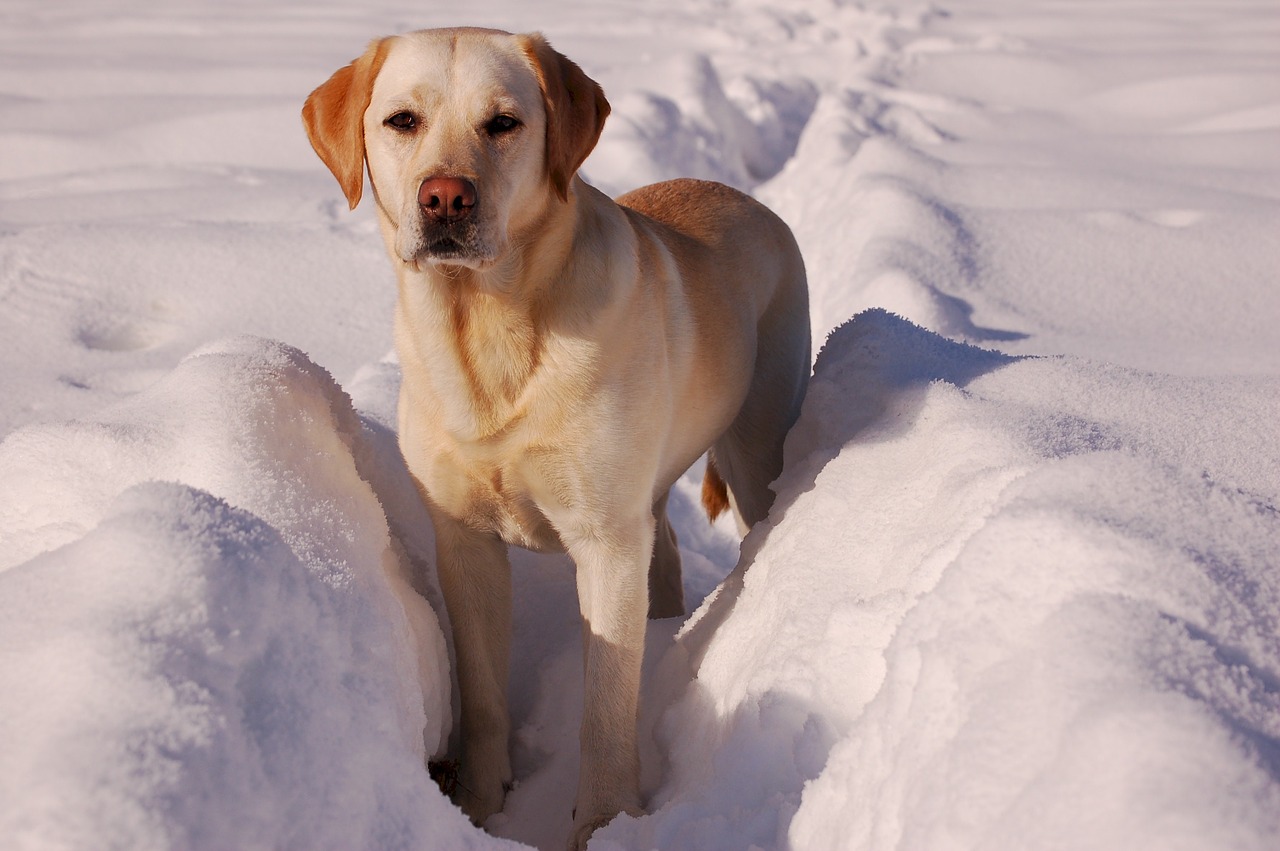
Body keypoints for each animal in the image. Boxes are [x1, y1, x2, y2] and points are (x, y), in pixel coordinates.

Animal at [302, 28, 808, 849]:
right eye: (403, 120)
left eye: (504, 123)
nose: (446, 197)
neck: (487, 329)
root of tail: (747, 198)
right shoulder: (465, 540)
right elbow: (482, 694)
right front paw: (480, 806)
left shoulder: (605, 541)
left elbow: (606, 709)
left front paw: (604, 824)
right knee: (665, 551)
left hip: (754, 445)